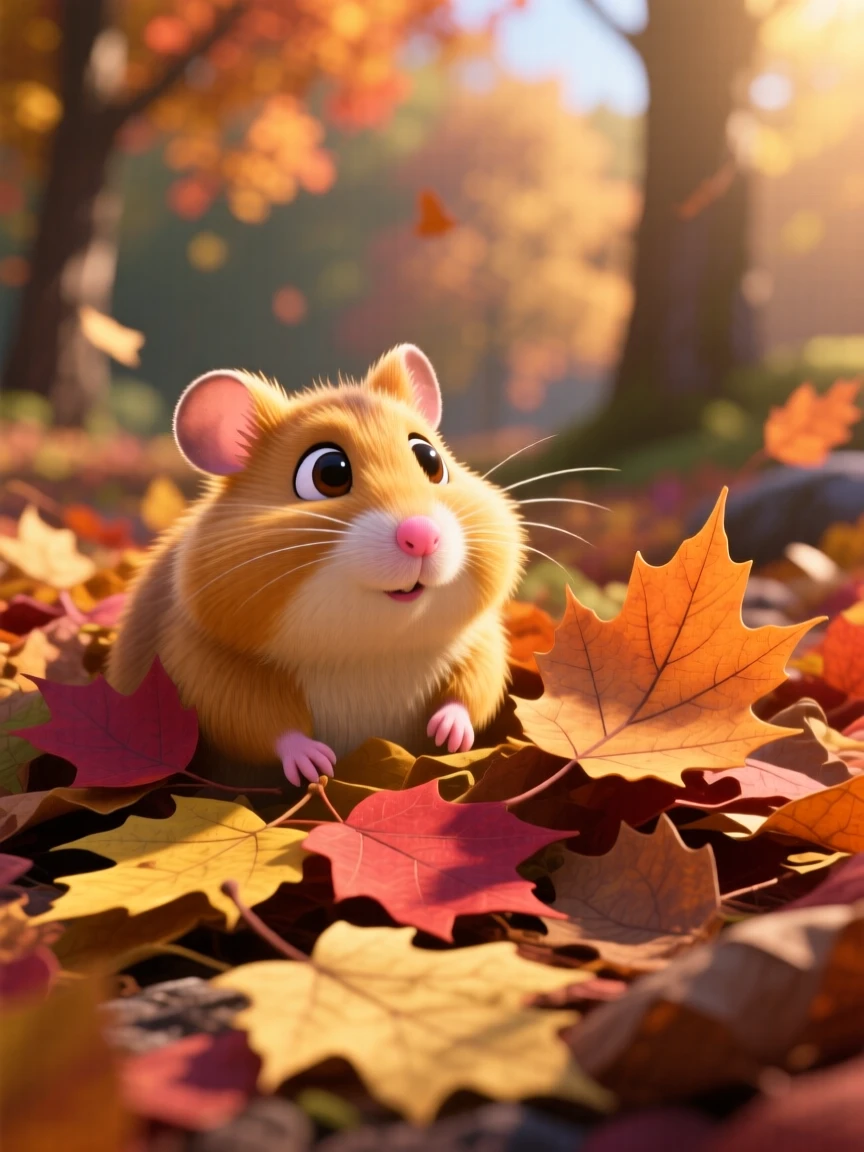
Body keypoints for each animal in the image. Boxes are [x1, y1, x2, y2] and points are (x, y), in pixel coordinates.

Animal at [106, 345, 526, 788]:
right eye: (329, 472)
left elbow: (477, 682)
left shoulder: (481, 639)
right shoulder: (199, 662)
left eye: (431, 460)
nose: (421, 536)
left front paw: (451, 733)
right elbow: (252, 719)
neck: (370, 649)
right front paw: (316, 763)